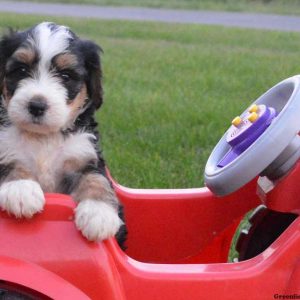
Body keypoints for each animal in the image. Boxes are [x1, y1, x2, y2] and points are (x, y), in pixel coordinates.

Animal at [0, 22, 125, 245]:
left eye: (65, 76)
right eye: (21, 70)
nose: (37, 106)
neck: (43, 137)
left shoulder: (85, 156)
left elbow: (96, 179)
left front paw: (99, 214)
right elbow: (10, 162)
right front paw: (21, 189)